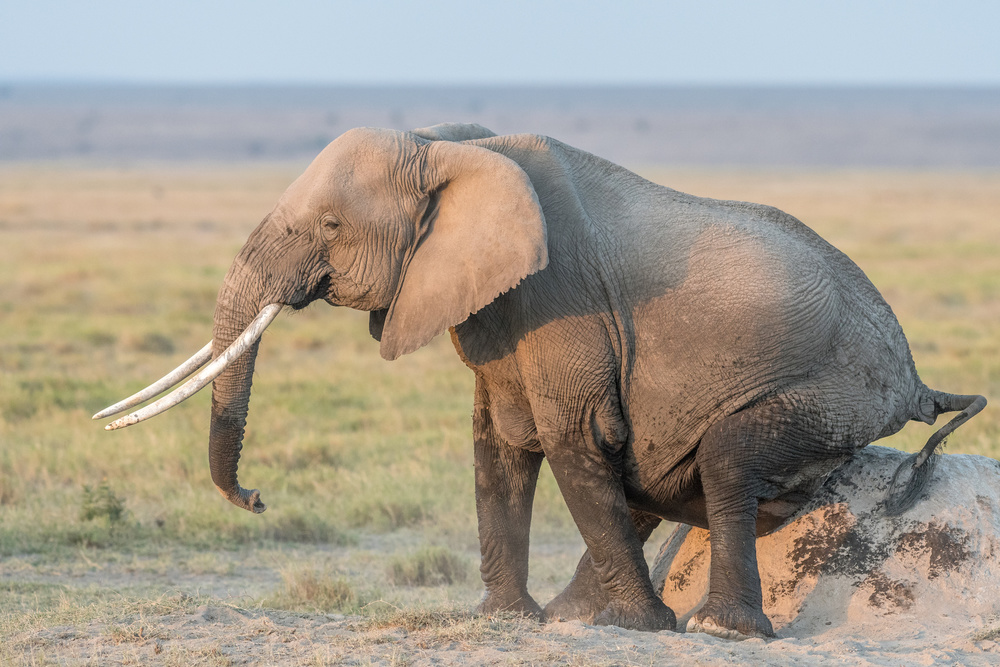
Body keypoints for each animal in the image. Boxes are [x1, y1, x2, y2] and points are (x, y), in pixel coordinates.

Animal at [97, 122, 988, 640]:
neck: (450, 144)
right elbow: (498, 442)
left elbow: (573, 435)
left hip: (833, 393)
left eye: (329, 225)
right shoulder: (495, 299)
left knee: (726, 462)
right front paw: (509, 619)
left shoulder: (561, 297)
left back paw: (716, 630)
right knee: (675, 480)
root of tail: (911, 375)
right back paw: (578, 615)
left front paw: (640, 628)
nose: (255, 499)